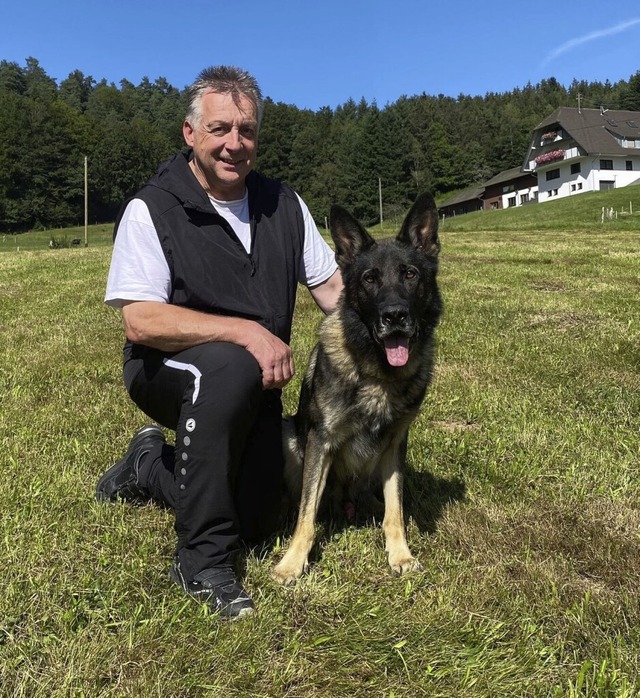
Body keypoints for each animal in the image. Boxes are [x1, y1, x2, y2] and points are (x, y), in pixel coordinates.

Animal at [272, 190, 442, 580]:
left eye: (410, 274)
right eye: (369, 279)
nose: (395, 316)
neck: (377, 373)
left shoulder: (395, 445)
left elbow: (395, 510)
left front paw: (400, 554)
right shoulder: (321, 441)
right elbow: (306, 515)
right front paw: (292, 562)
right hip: (290, 436)